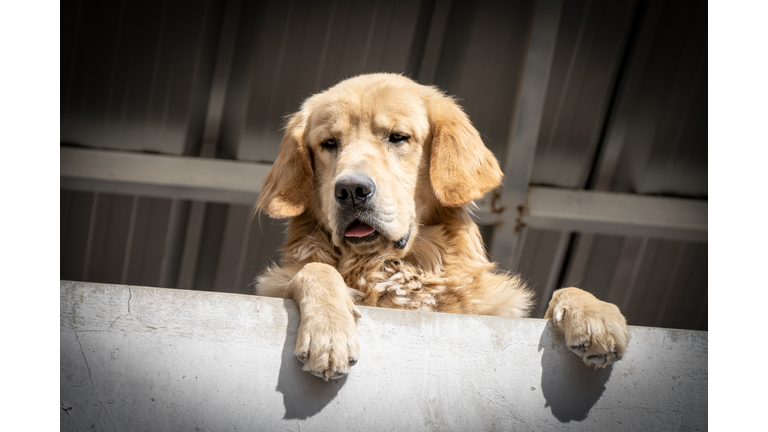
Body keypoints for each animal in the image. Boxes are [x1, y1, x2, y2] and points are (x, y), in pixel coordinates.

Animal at [255, 74, 628, 382]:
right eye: (329, 143)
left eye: (398, 137)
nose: (350, 190)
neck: (392, 269)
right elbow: (315, 269)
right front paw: (328, 330)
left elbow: (564, 293)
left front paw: (594, 313)